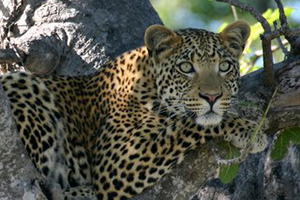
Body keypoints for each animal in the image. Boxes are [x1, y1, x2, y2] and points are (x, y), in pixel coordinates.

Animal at [0, 21, 268, 199]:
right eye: (185, 67)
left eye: (224, 67)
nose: (212, 97)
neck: (148, 81)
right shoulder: (117, 162)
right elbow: (187, 125)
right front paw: (248, 130)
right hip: (20, 83)